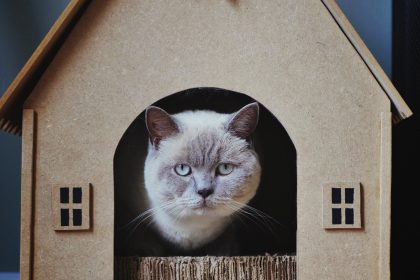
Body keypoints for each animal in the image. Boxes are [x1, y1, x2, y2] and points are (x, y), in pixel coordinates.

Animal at [118, 103, 260, 256]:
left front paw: (222, 252)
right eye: (182, 169)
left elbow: (226, 236)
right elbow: (139, 233)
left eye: (225, 168)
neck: (191, 231)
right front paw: (145, 251)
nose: (204, 191)